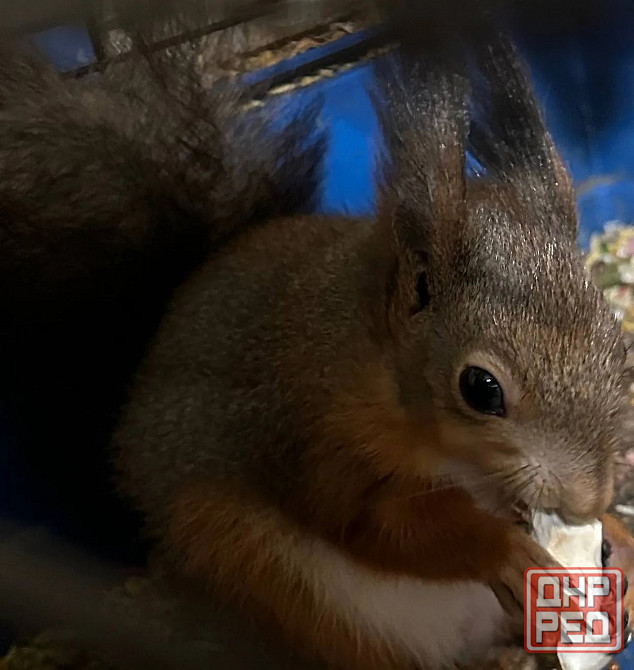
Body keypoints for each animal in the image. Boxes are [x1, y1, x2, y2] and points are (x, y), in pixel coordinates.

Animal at [1, 5, 634, 669]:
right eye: (481, 389)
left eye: (617, 345)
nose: (588, 501)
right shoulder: (317, 438)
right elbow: (378, 526)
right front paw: (502, 549)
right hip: (278, 578)